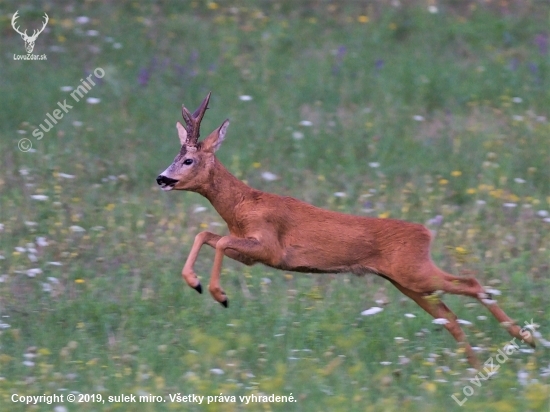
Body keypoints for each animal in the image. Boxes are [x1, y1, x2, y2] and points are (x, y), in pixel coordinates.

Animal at [157, 92, 536, 366]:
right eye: (175, 157)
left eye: (188, 159)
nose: (162, 178)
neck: (241, 207)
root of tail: (426, 232)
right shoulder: (250, 251)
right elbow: (206, 235)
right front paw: (194, 282)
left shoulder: (270, 247)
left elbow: (218, 241)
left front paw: (218, 294)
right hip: (406, 281)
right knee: (448, 313)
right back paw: (478, 364)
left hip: (414, 272)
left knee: (470, 283)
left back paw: (525, 338)